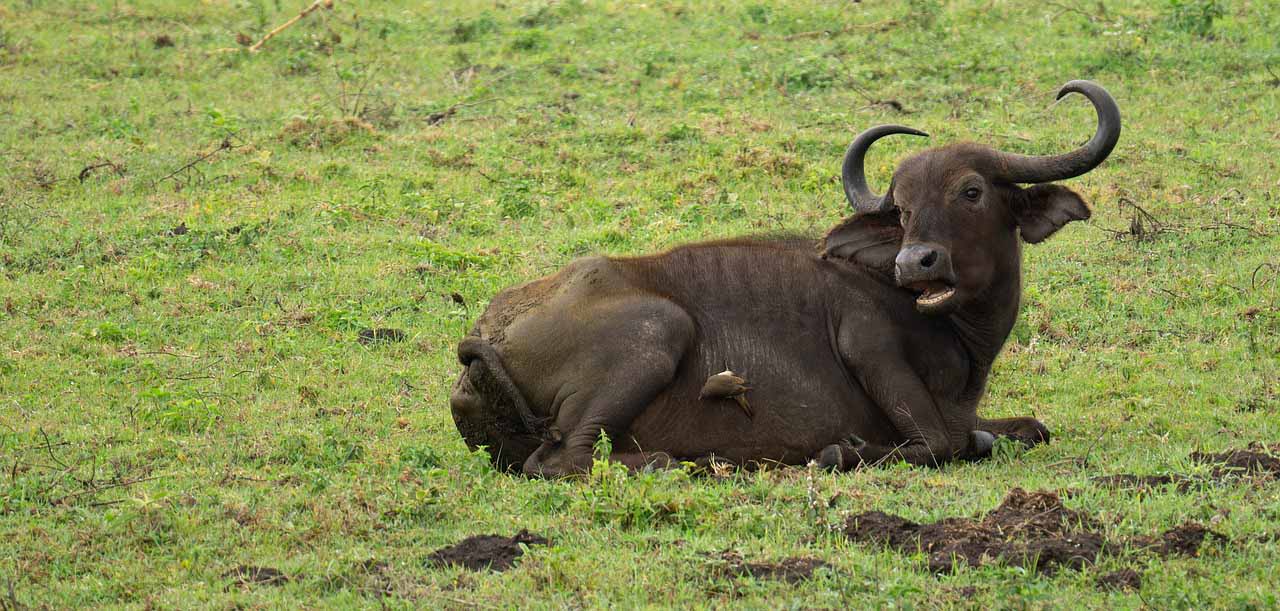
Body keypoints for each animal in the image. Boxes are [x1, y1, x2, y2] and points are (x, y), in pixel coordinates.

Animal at [453, 79, 1121, 476]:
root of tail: (489, 331)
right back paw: (686, 462)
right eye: (903, 209)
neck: (958, 339)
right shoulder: (869, 344)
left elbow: (1027, 428)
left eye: (972, 191)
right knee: (565, 459)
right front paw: (840, 451)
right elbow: (938, 443)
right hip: (657, 330)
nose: (914, 263)